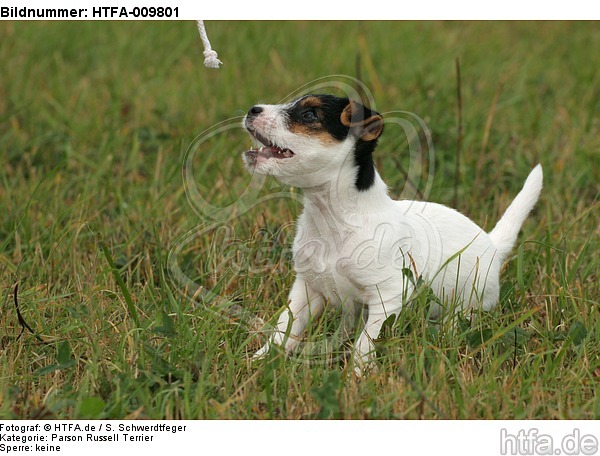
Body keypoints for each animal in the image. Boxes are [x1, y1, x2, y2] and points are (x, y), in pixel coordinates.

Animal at [241, 94, 540, 376]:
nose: (252, 109)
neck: (334, 220)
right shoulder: (306, 288)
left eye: (309, 114)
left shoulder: (388, 295)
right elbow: (285, 327)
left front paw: (357, 376)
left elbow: (366, 341)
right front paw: (261, 359)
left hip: (471, 303)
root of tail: (493, 244)